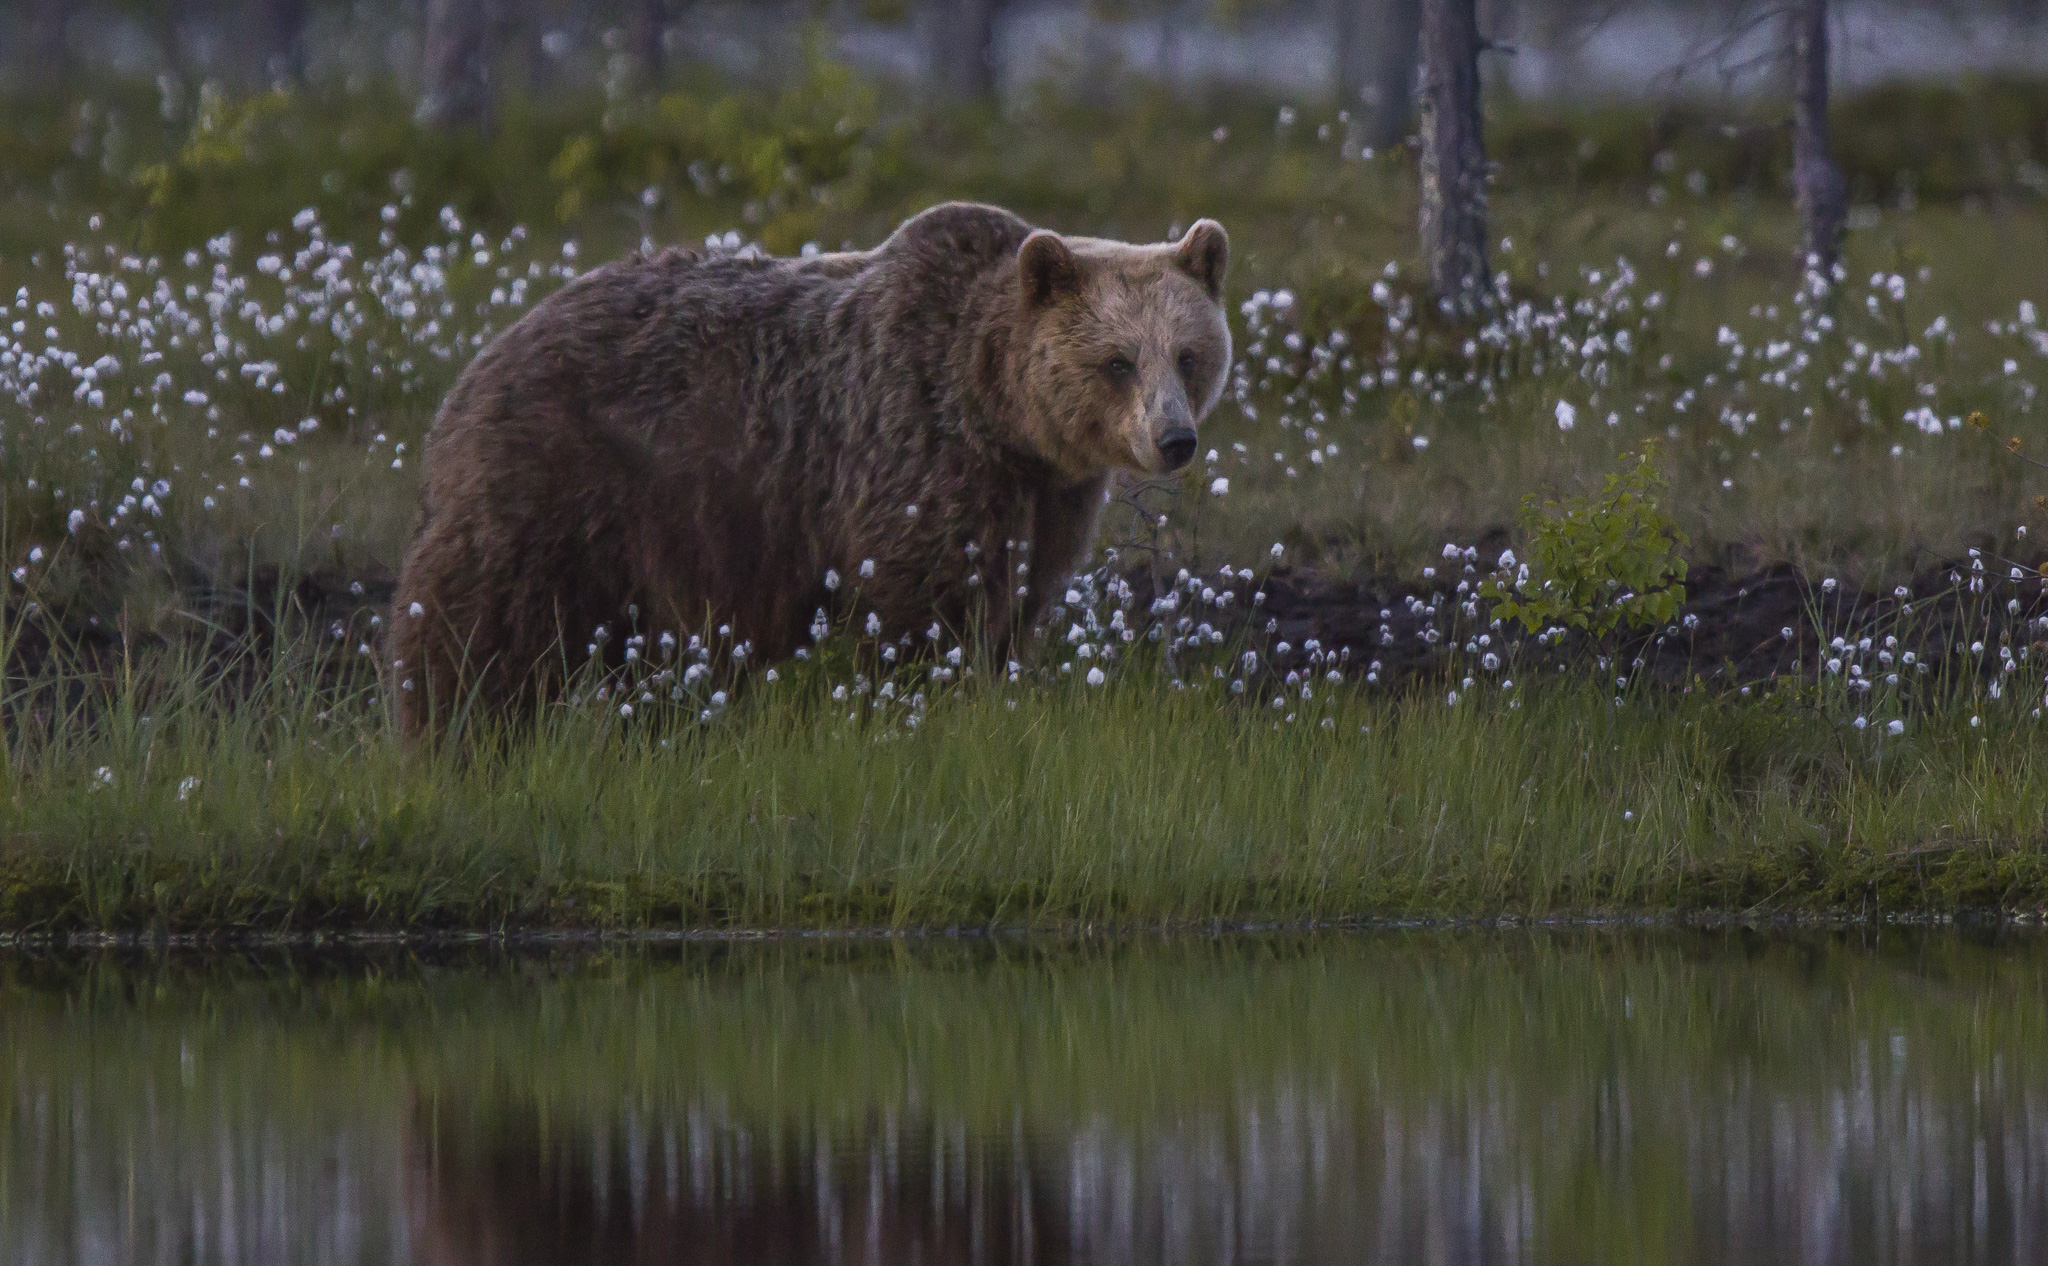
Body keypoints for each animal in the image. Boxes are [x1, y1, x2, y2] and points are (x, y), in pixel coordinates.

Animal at [387, 201, 1231, 736]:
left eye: (1188, 354)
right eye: (1117, 360)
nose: (1175, 439)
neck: (999, 412)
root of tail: (482, 358)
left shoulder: (1045, 498)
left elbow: (1012, 608)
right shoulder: (916, 450)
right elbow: (919, 612)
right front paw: (917, 708)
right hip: (557, 479)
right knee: (483, 626)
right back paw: (456, 733)